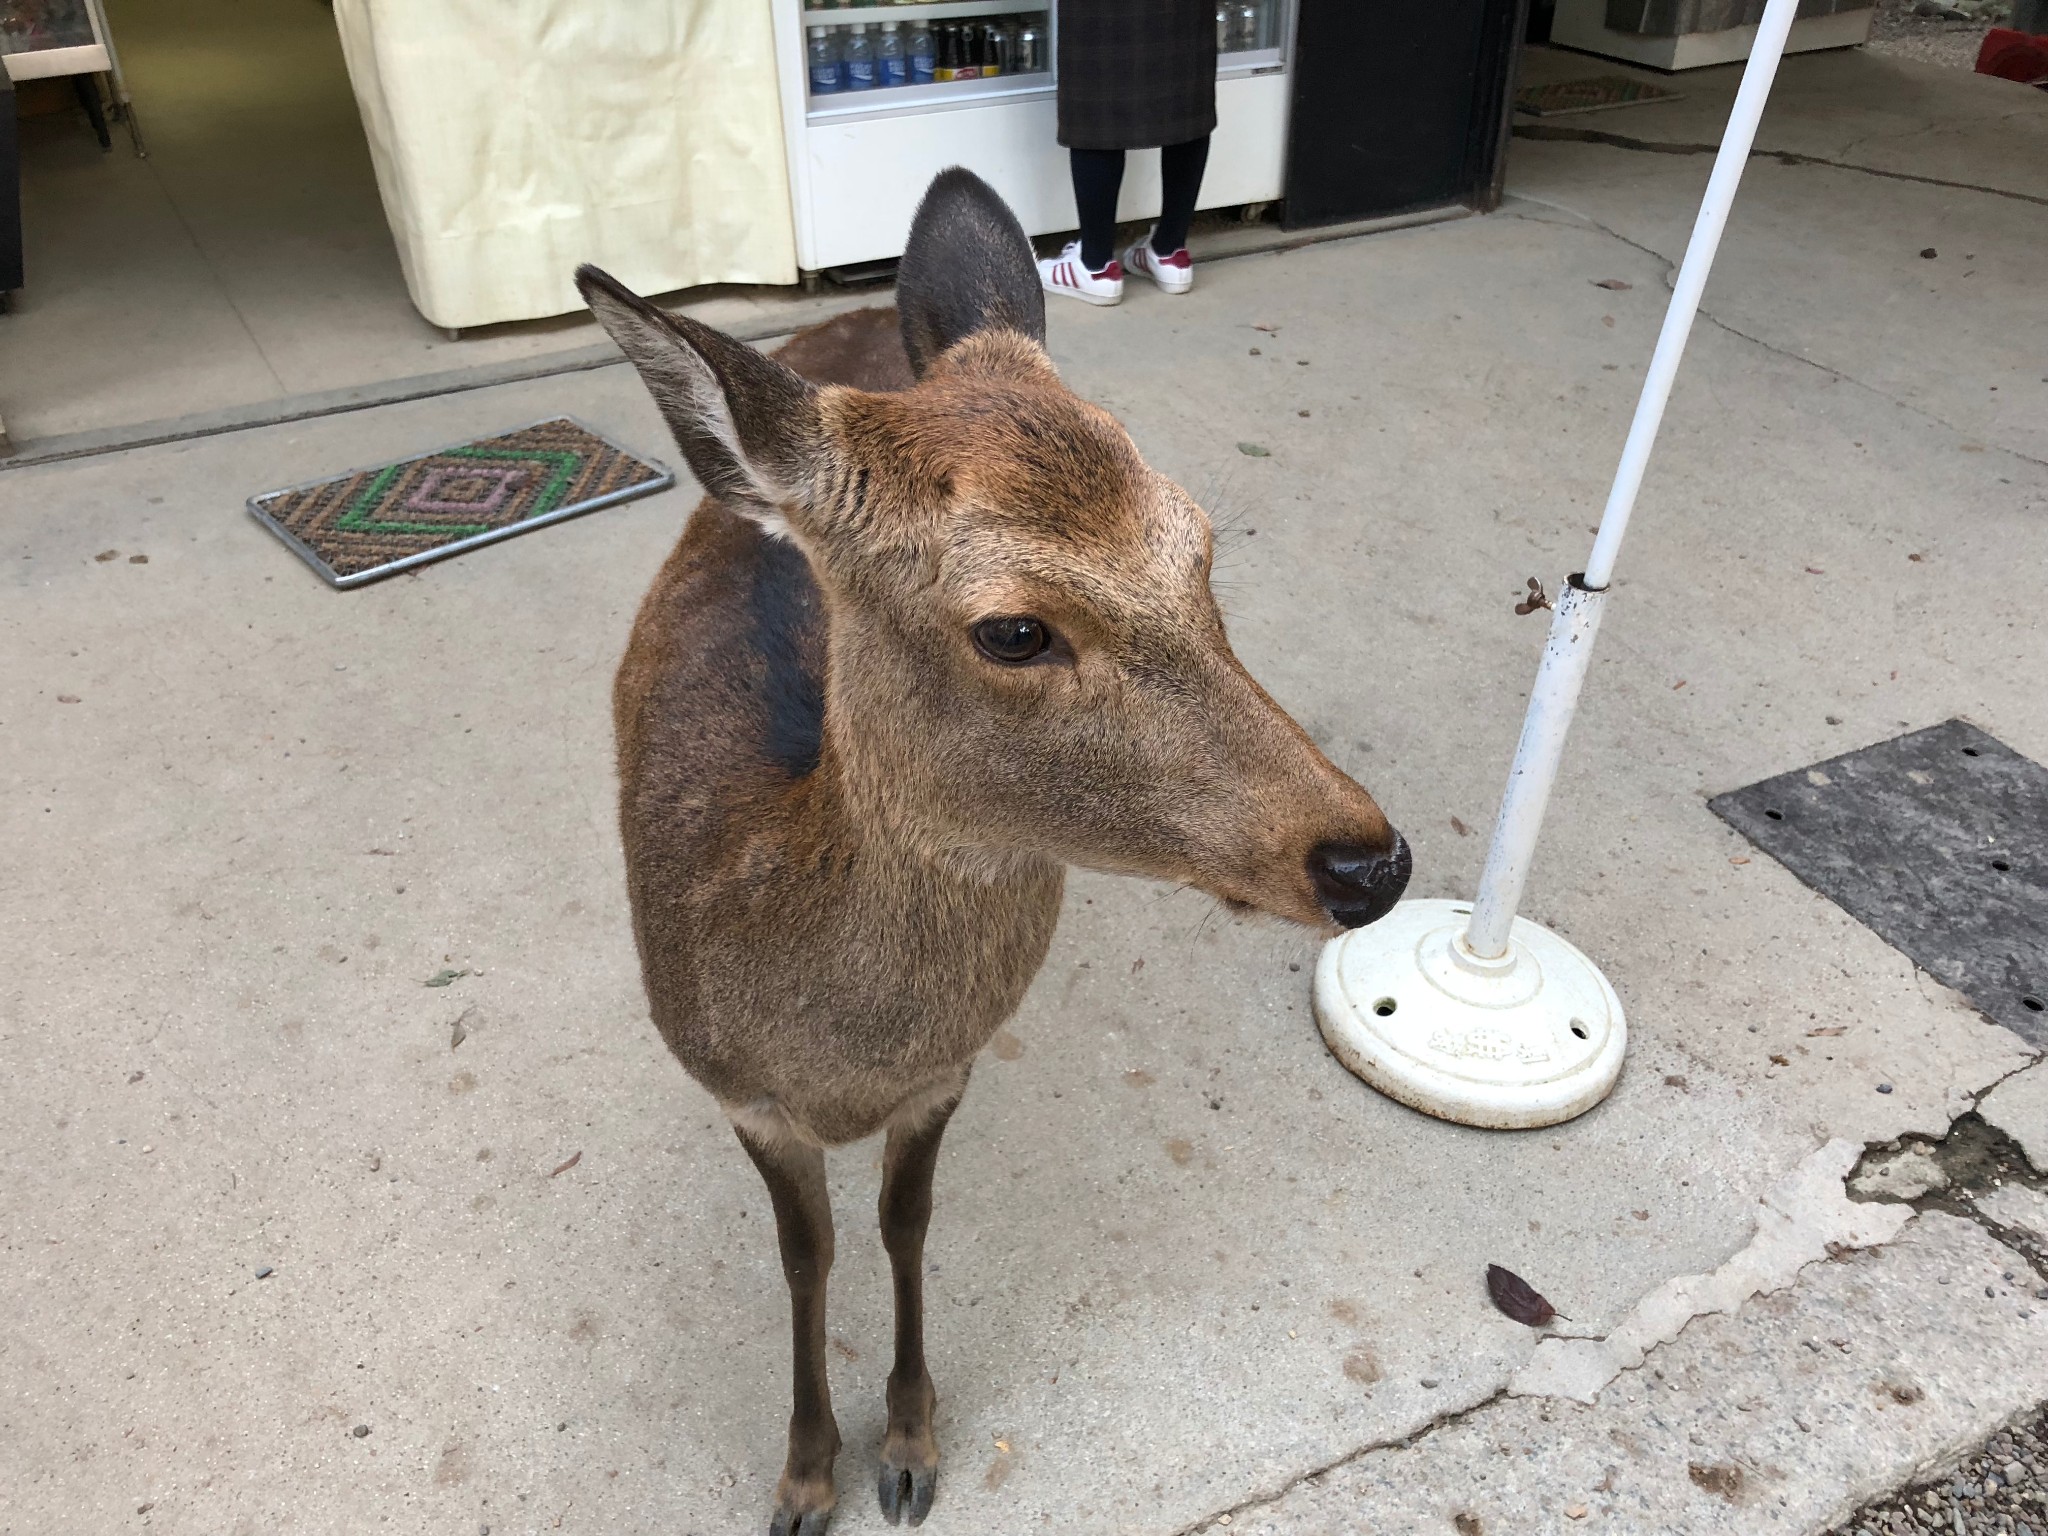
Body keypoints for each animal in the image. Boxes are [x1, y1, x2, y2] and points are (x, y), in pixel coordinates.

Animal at [577, 171, 1409, 1536]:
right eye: (1014, 629)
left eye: (1199, 544)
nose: (1369, 863)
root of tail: (859, 321)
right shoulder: (738, 1093)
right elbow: (804, 1253)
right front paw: (805, 1476)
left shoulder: (945, 1072)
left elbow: (905, 1223)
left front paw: (909, 1447)